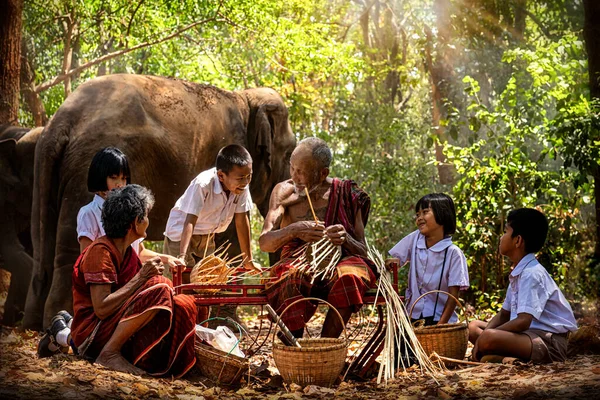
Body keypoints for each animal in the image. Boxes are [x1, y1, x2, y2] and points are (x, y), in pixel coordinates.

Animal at [23, 73, 296, 330]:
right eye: (289, 152)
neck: (245, 99)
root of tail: (60, 121)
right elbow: (233, 234)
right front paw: (228, 323)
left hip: (49, 176)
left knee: (44, 249)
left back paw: (33, 323)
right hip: (82, 173)